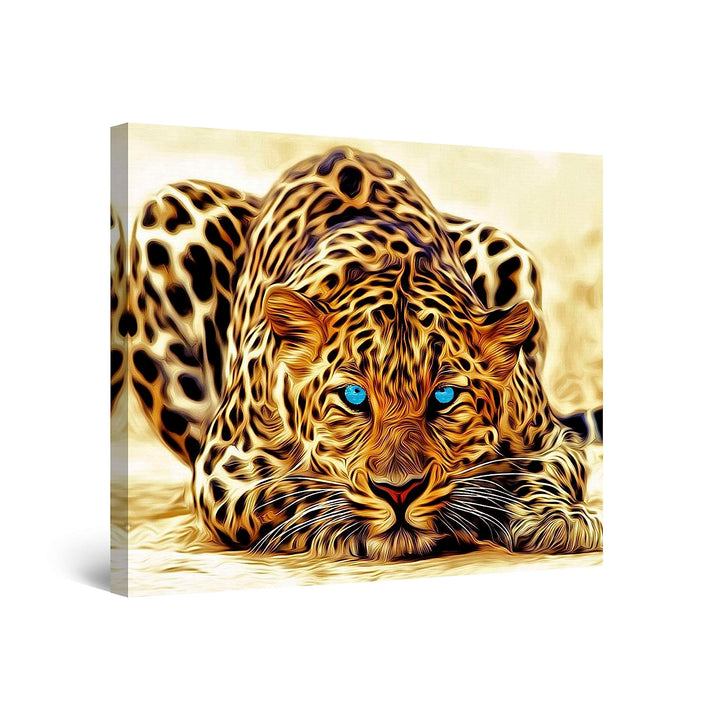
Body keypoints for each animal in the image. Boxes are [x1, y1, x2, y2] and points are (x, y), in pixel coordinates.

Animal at [111, 146, 603, 561]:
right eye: (354, 398)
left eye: (444, 398)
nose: (399, 491)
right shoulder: (222, 469)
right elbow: (285, 494)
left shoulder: (551, 438)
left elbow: (546, 469)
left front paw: (557, 518)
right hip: (167, 211)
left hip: (503, 245)